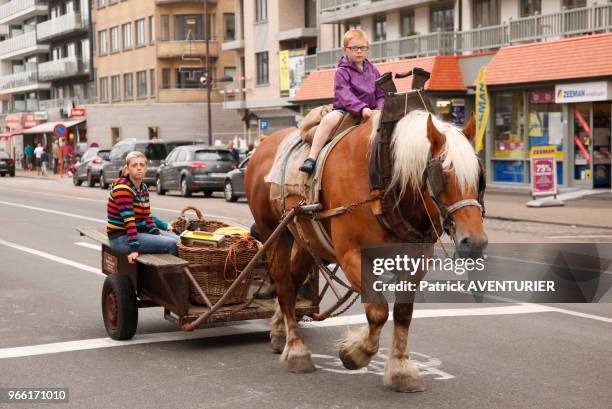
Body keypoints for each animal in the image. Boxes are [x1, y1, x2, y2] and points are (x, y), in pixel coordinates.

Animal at [244, 109, 488, 392]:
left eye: (479, 176)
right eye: (444, 175)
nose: (475, 242)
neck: (383, 179)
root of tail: (263, 145)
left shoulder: (416, 259)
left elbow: (403, 312)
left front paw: (401, 369)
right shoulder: (351, 254)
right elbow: (378, 310)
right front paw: (355, 353)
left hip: (307, 238)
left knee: (292, 282)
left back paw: (278, 331)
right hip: (274, 232)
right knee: (283, 283)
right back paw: (296, 351)